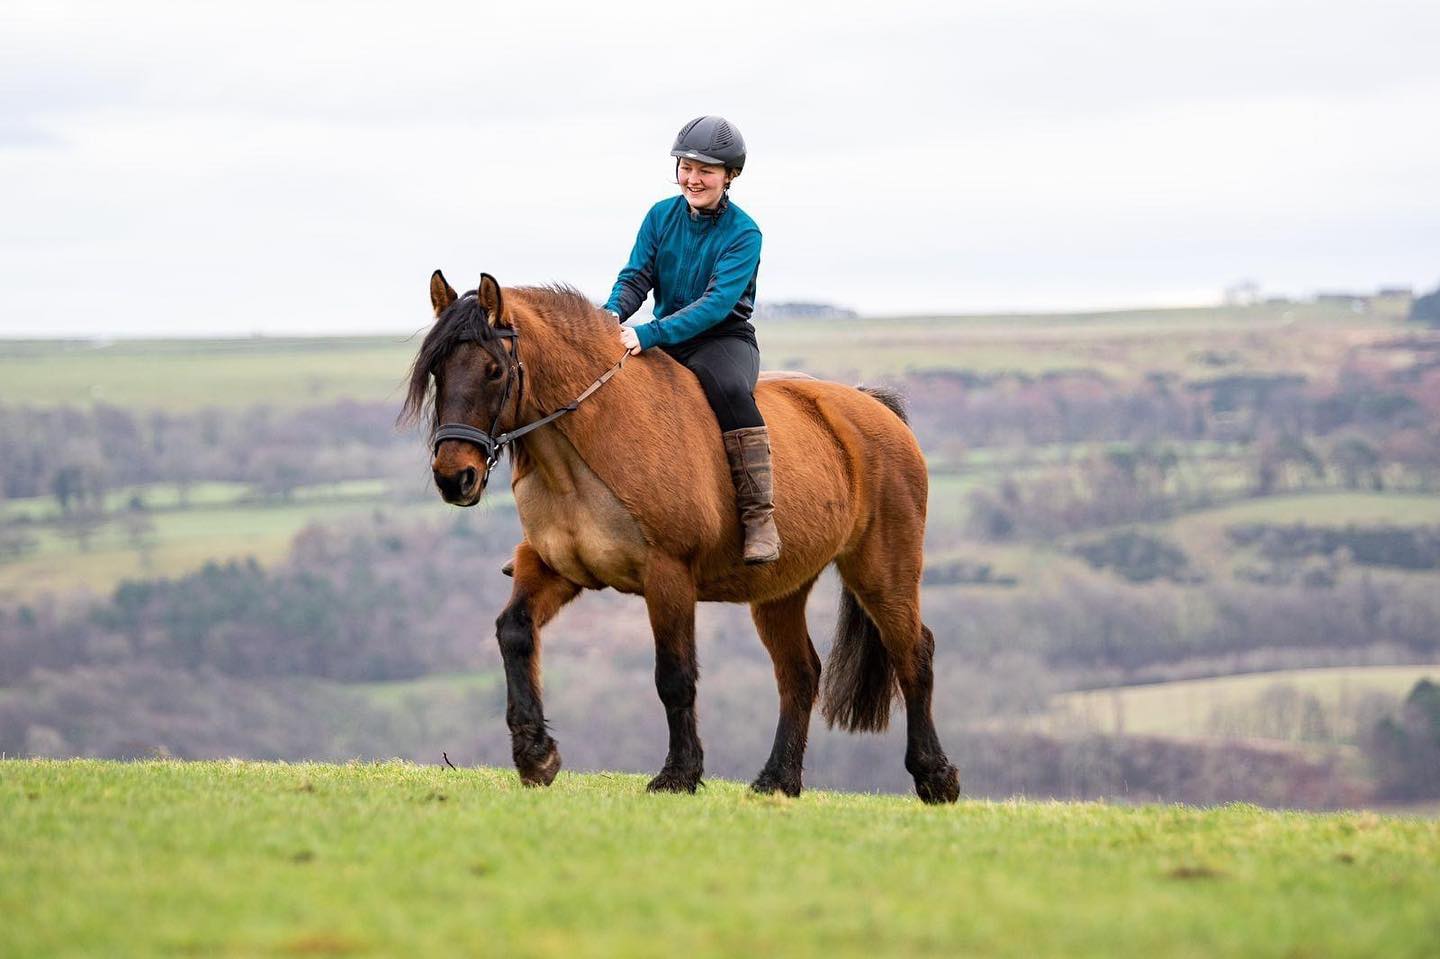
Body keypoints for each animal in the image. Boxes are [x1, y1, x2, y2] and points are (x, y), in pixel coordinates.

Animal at [401, 271, 959, 803]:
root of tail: (872, 408)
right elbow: (514, 632)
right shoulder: (554, 566)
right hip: (781, 590)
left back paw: (935, 778)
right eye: (437, 371)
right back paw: (777, 781)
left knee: (913, 654)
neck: (586, 447)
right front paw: (536, 756)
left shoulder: (667, 574)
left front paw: (678, 775)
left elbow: (674, 676)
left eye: (494, 370)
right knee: (800, 674)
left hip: (882, 568)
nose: (455, 477)